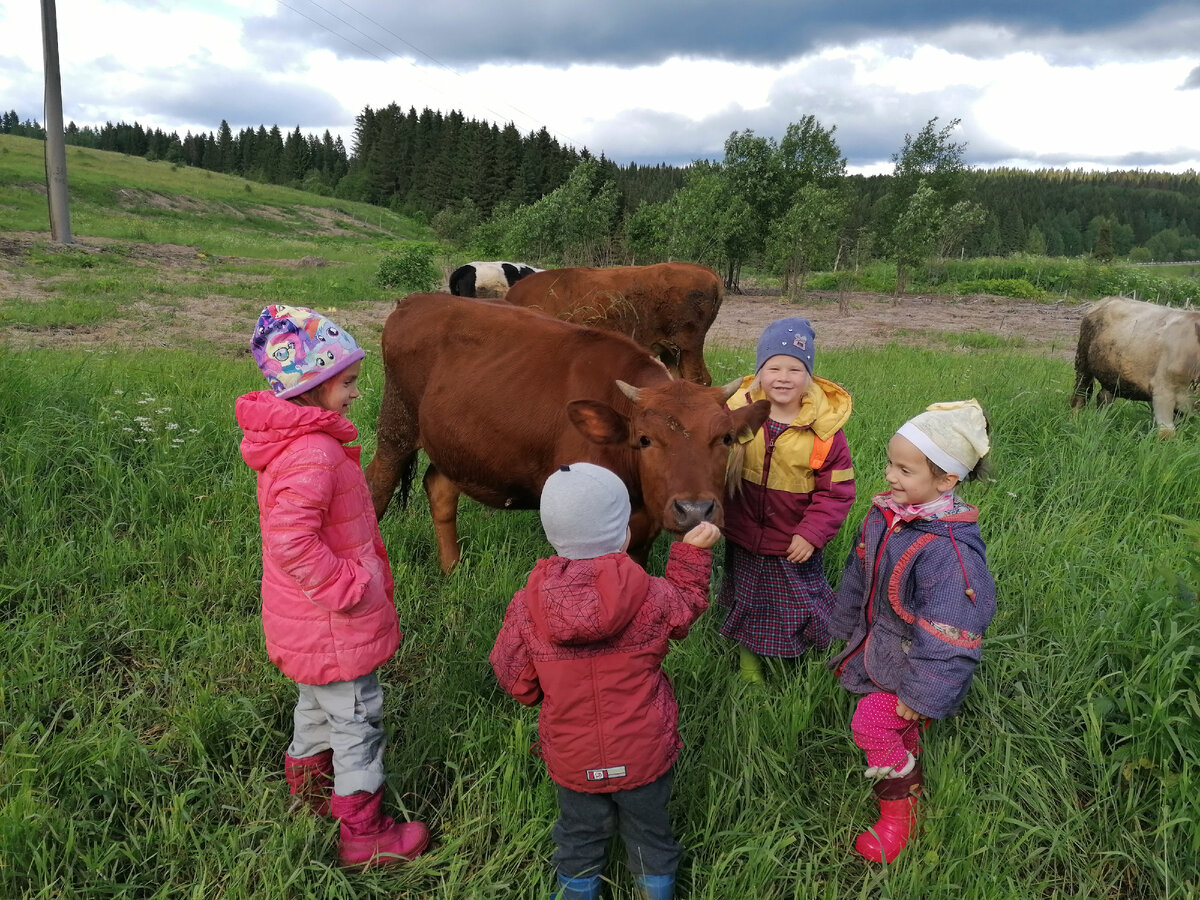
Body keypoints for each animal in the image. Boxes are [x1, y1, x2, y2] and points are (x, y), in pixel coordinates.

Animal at [360, 296, 768, 578]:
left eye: (726, 438)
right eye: (645, 439)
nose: (695, 510)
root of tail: (413, 302)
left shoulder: (644, 527)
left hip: (456, 445)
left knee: (440, 490)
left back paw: (452, 571)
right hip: (397, 424)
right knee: (377, 484)